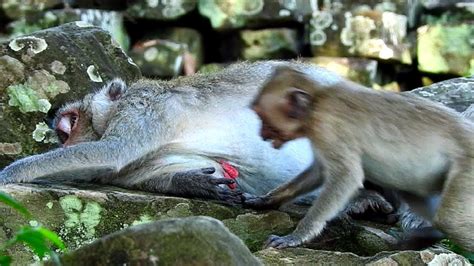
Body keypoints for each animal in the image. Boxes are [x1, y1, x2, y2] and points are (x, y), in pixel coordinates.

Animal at [246, 65, 472, 250]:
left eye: (263, 118)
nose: (261, 134)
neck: (317, 101)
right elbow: (318, 172)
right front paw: (265, 200)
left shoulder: (327, 127)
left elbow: (346, 176)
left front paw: (296, 237)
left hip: (467, 169)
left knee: (450, 220)